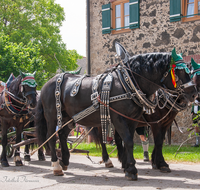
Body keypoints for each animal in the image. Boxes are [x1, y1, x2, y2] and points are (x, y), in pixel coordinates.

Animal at [35, 44, 196, 180]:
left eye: (191, 73)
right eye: (178, 71)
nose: (194, 93)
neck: (129, 82)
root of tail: (46, 84)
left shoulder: (135, 120)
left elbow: (135, 142)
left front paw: (138, 165)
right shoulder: (123, 119)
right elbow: (131, 141)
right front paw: (133, 169)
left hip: (70, 118)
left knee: (62, 135)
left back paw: (65, 161)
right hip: (52, 116)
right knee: (51, 137)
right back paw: (56, 165)